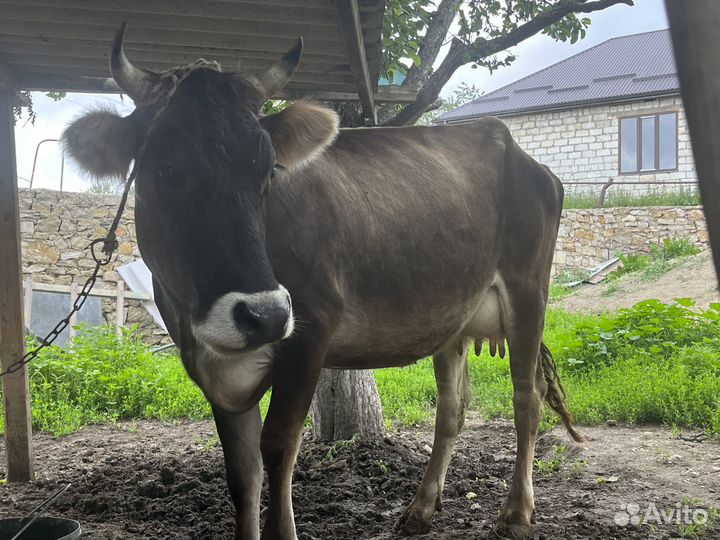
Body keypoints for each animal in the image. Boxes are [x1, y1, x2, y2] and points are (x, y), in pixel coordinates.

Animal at [62, 24, 583, 540]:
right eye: (166, 168)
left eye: (267, 170)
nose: (265, 315)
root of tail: (518, 151)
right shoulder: (212, 366)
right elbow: (242, 471)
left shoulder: (311, 329)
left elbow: (278, 446)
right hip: (453, 317)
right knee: (452, 407)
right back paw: (420, 508)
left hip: (528, 293)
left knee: (528, 398)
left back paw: (516, 512)